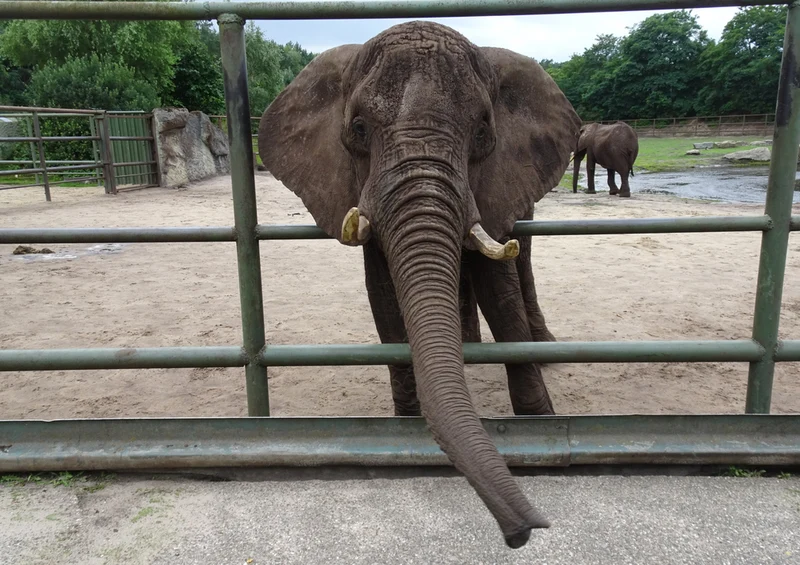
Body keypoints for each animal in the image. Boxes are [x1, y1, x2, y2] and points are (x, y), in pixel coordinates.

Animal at [258, 21, 580, 548]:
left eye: (483, 131)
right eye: (359, 129)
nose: (523, 531)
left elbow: (501, 292)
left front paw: (542, 425)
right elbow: (385, 297)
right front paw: (406, 429)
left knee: (523, 257)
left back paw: (543, 347)